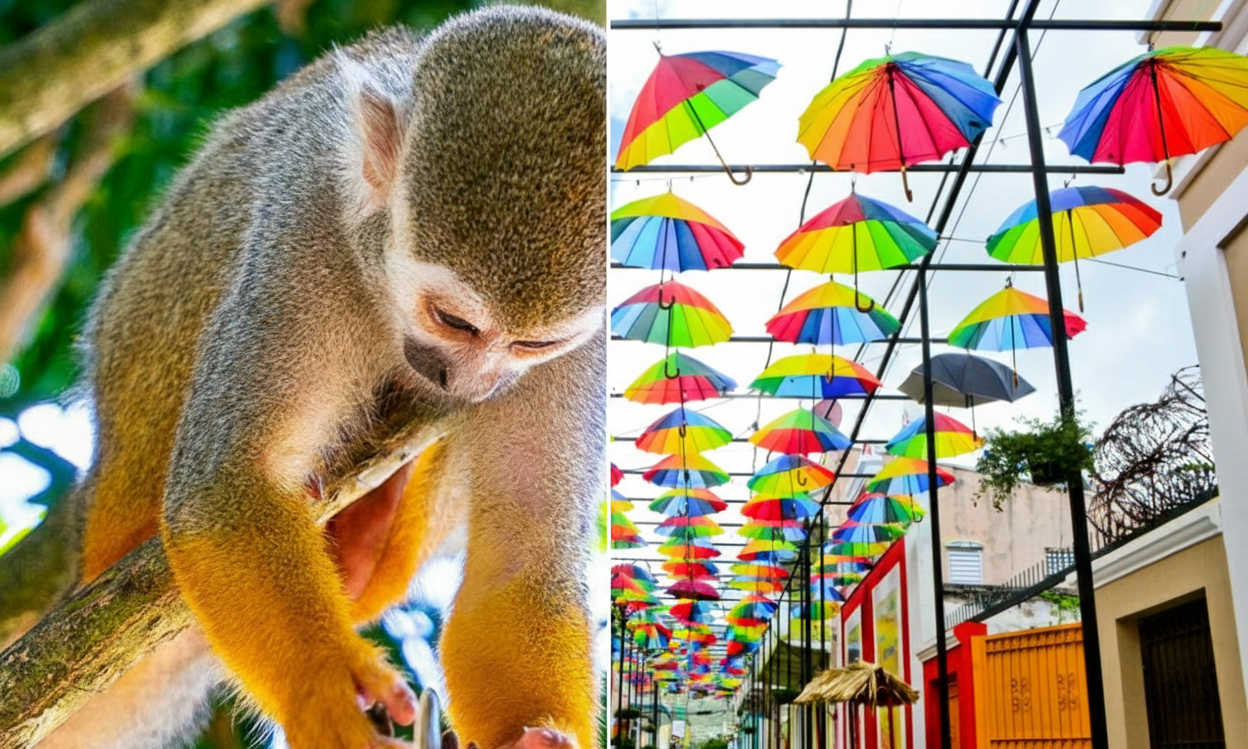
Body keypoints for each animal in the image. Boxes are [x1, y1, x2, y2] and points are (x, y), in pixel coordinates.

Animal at [20, 6, 606, 749]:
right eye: (453, 320)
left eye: (536, 342)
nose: (467, 381)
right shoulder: (308, 216)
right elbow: (223, 488)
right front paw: (327, 688)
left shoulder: (589, 346)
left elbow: (523, 563)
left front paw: (532, 730)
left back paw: (364, 542)